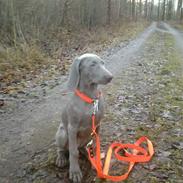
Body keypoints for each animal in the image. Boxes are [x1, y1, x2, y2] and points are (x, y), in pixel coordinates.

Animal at [55, 53, 113, 182]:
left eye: (103, 63)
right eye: (92, 64)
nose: (110, 77)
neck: (91, 99)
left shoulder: (98, 125)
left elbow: (95, 145)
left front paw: (96, 161)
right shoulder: (72, 128)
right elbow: (73, 152)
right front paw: (75, 172)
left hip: (86, 138)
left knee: (82, 148)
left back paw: (87, 153)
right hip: (62, 133)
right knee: (63, 149)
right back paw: (61, 158)